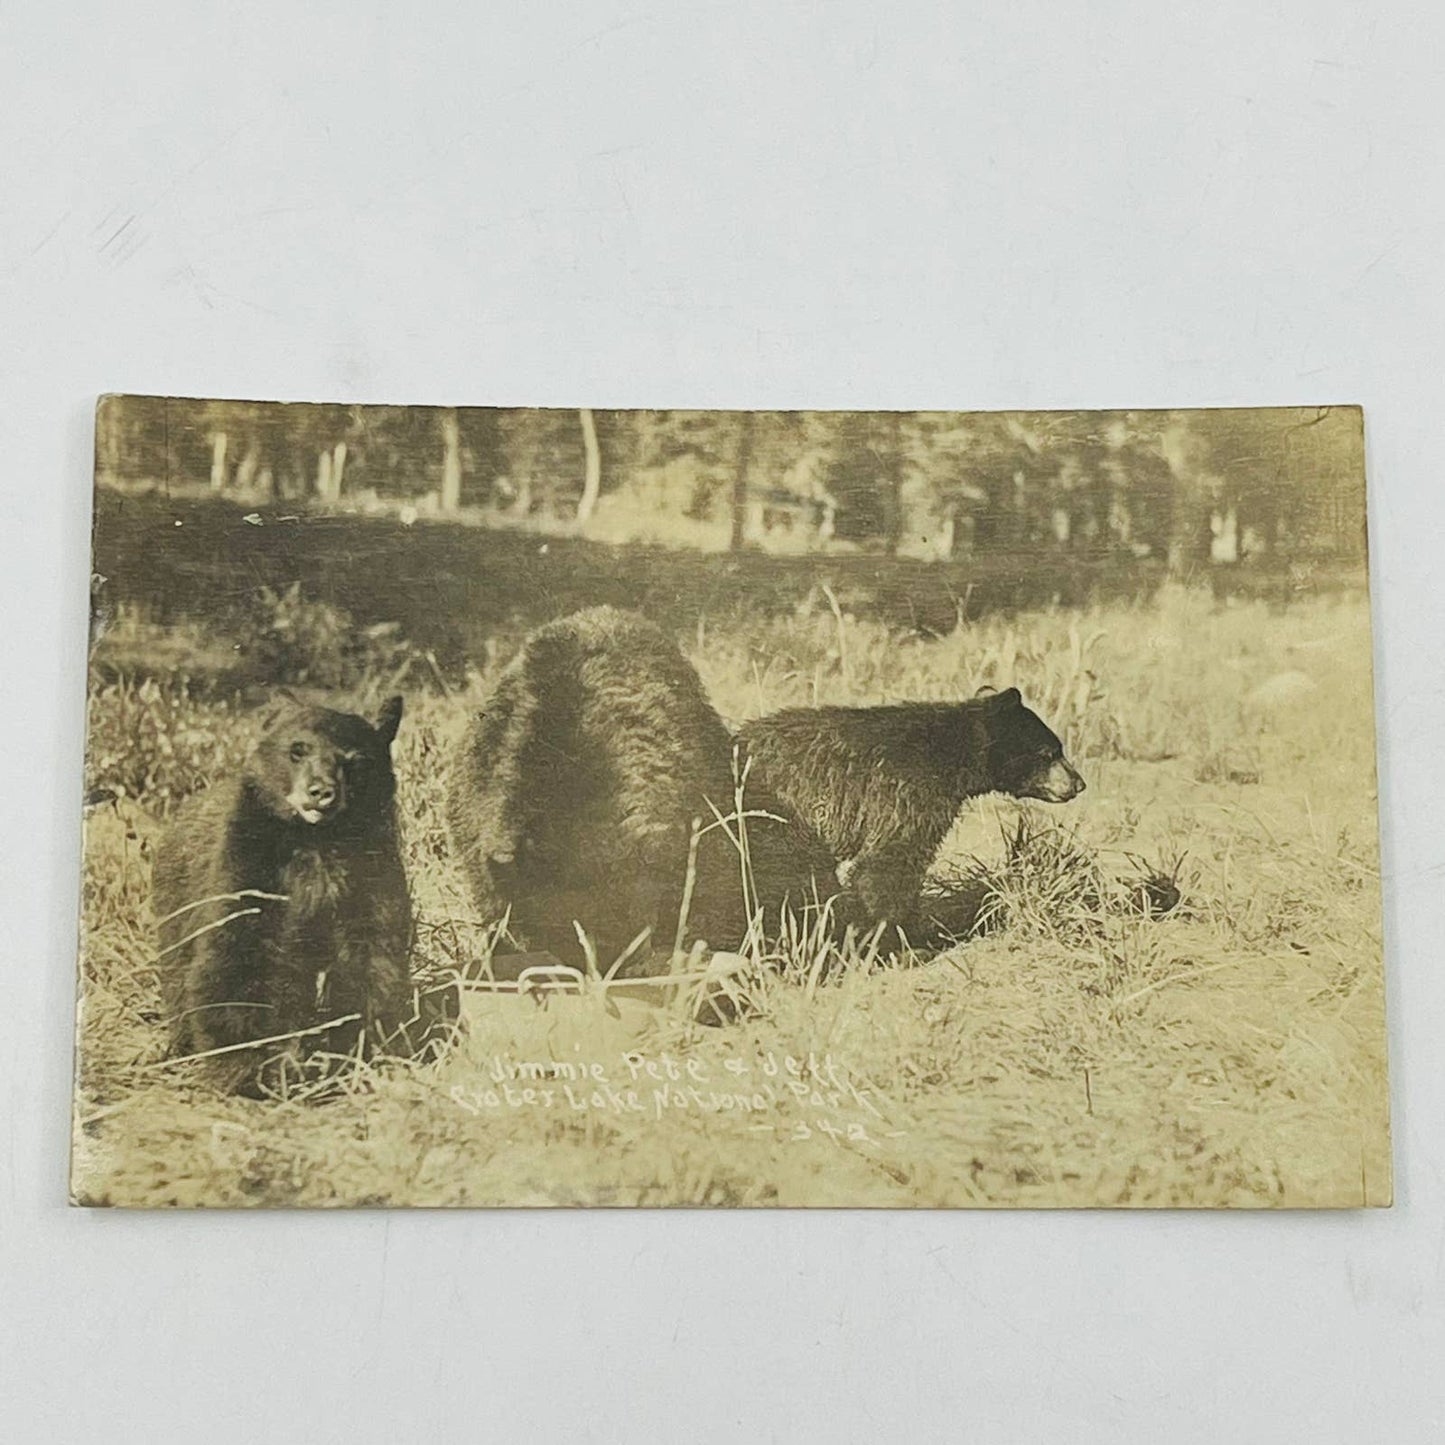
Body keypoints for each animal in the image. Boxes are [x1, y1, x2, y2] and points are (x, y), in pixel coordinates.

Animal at [153, 696, 413, 1092]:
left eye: (354, 761)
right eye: (297, 750)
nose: (321, 793)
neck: (316, 840)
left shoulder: (370, 872)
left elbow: (372, 955)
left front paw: (368, 1048)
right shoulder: (250, 864)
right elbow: (239, 952)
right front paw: (241, 1064)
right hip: (176, 900)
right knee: (179, 969)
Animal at [734, 690, 1086, 936]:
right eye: (1049, 752)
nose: (1079, 783)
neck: (951, 755)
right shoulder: (906, 793)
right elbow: (889, 863)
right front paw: (888, 933)